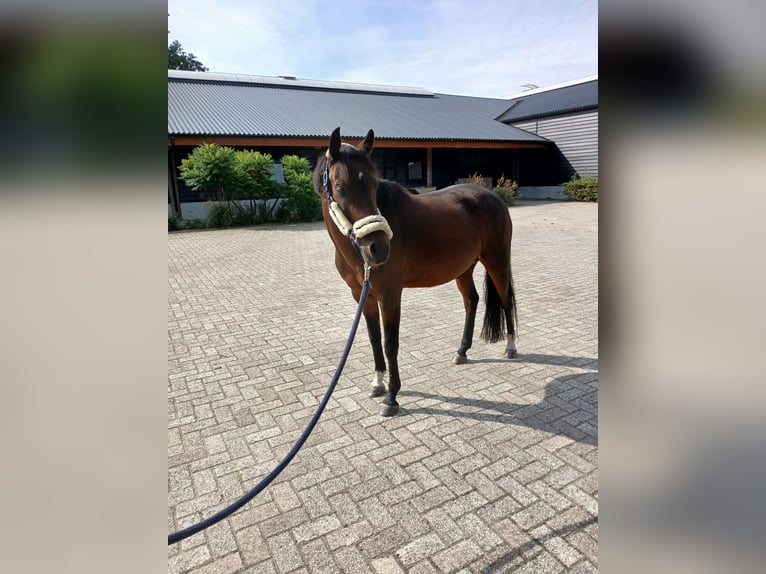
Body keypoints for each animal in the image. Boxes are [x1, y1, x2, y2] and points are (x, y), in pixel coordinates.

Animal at [314, 127, 517, 417]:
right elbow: (374, 338)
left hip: (497, 261)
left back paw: (510, 347)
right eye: (341, 187)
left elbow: (390, 343)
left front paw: (392, 397)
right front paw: (378, 384)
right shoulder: (362, 296)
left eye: (375, 185)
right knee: (472, 301)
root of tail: (494, 197)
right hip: (463, 269)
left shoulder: (390, 295)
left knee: (504, 298)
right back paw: (462, 351)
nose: (378, 249)